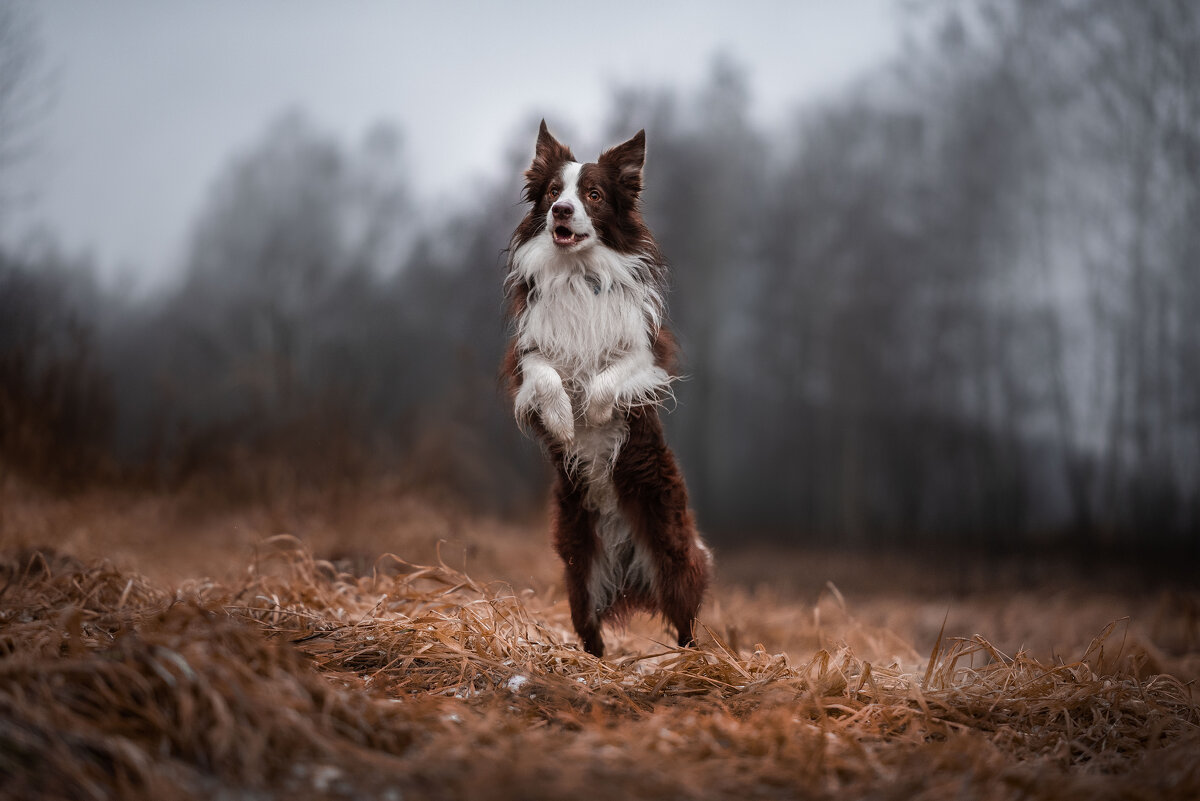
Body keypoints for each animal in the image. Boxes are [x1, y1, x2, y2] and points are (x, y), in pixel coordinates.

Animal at [499, 120, 705, 657]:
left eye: (592, 194)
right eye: (553, 192)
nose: (561, 211)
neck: (576, 272)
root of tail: (627, 562)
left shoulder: (646, 353)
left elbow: (608, 378)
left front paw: (592, 414)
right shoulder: (526, 356)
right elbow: (547, 377)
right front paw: (562, 422)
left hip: (674, 554)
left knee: (687, 623)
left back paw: (696, 662)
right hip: (579, 565)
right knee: (589, 627)